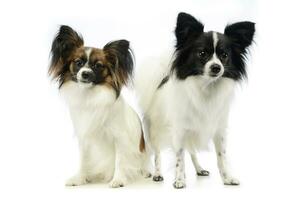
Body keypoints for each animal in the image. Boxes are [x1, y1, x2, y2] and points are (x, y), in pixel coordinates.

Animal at [49, 25, 150, 188]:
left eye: (98, 66)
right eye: (78, 62)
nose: (85, 74)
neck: (90, 96)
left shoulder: (120, 138)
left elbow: (120, 160)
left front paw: (117, 180)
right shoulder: (84, 137)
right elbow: (83, 160)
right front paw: (80, 178)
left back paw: (145, 172)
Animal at [136, 12, 255, 189]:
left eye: (224, 55)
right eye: (202, 53)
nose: (216, 67)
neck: (207, 87)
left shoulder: (218, 130)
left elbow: (221, 157)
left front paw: (227, 178)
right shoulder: (179, 130)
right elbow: (179, 158)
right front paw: (179, 180)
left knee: (191, 152)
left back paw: (199, 169)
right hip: (155, 131)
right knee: (157, 154)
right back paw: (158, 174)